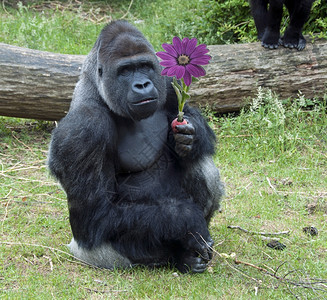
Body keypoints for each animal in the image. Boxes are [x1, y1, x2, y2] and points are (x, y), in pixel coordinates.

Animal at [48, 20, 226, 274]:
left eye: (144, 66)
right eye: (125, 71)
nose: (142, 84)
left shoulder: (168, 82)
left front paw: (191, 137)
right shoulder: (83, 128)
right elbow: (97, 215)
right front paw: (185, 218)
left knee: (202, 164)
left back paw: (186, 257)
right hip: (89, 252)